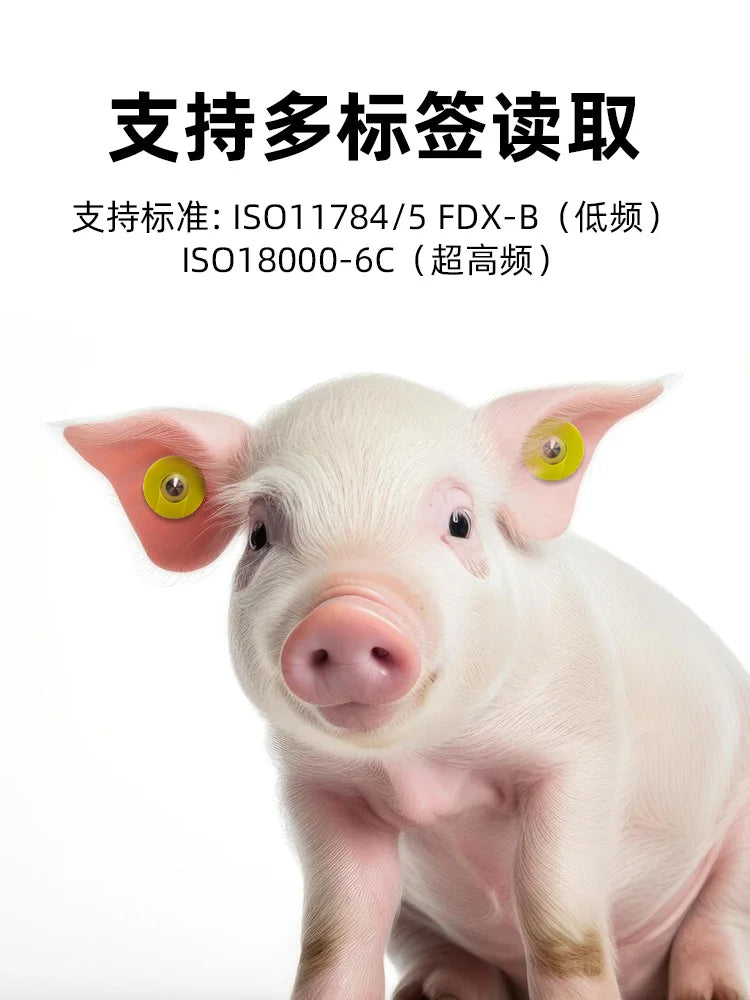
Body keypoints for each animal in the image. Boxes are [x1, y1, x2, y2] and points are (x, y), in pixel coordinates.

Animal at [64, 375, 750, 1000]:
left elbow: (560, 924)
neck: (426, 767)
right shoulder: (316, 787)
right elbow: (336, 933)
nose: (346, 617)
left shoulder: (583, 750)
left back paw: (710, 993)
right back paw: (434, 992)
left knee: (719, 921)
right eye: (259, 536)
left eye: (459, 522)